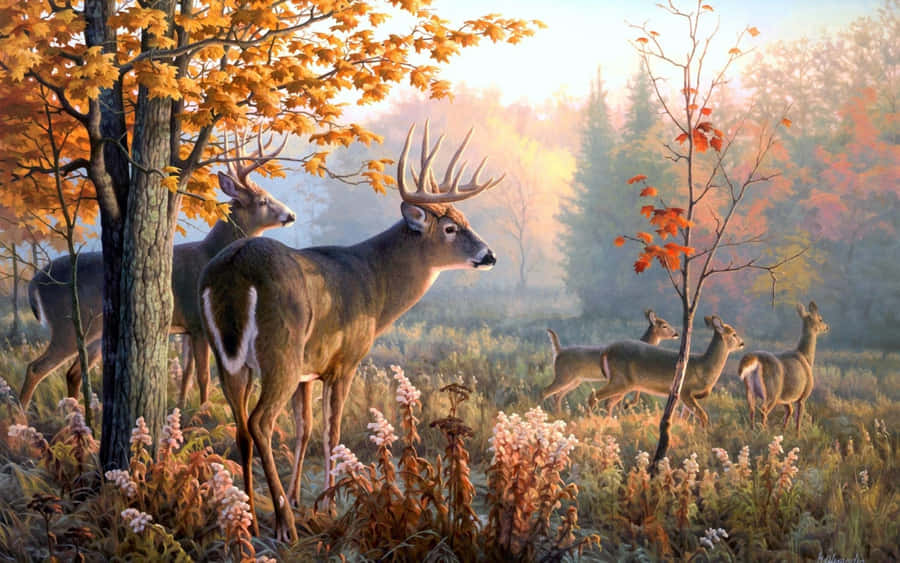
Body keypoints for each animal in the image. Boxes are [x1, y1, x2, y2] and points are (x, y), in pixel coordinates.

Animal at [20, 134, 295, 411]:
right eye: (263, 201)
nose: (290, 214)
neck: (211, 253)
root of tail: (34, 283)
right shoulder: (198, 321)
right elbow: (203, 375)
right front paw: (204, 410)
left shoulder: (186, 327)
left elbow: (186, 375)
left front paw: (183, 408)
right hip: (67, 324)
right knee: (35, 368)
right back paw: (21, 415)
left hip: (94, 331)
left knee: (73, 373)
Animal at [199, 122, 504, 541]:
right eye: (450, 227)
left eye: (465, 218)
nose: (490, 255)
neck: (374, 286)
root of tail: (233, 267)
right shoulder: (344, 361)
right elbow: (332, 431)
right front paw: (327, 505)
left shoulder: (310, 370)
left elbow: (305, 428)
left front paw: (302, 499)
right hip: (281, 350)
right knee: (260, 422)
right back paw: (283, 524)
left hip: (229, 358)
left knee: (242, 427)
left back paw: (248, 516)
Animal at [542, 309, 679, 412]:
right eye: (664, 325)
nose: (676, 334)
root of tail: (559, 351)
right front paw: (625, 408)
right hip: (564, 376)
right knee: (546, 391)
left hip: (574, 381)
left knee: (557, 395)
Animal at [587, 315, 745, 427]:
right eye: (734, 334)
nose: (743, 343)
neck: (704, 367)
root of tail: (607, 350)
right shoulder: (685, 391)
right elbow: (703, 416)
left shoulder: (687, 397)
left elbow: (684, 419)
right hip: (620, 380)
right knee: (594, 396)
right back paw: (590, 422)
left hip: (624, 384)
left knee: (608, 402)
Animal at [737, 301, 829, 431]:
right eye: (820, 319)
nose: (827, 327)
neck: (806, 357)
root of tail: (755, 359)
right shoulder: (803, 395)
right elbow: (798, 420)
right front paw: (797, 434)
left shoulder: (785, 398)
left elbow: (790, 411)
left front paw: (783, 430)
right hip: (772, 390)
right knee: (763, 410)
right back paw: (763, 432)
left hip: (750, 389)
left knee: (751, 409)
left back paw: (753, 430)